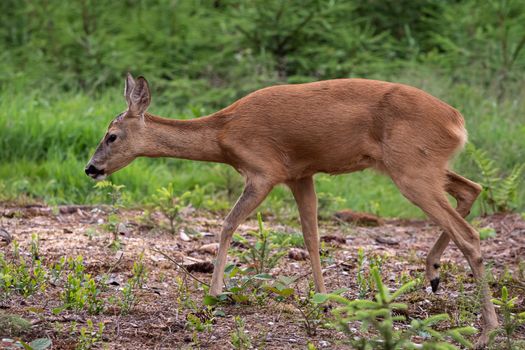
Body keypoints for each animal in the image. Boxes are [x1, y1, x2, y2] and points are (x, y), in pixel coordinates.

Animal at [85, 74, 496, 348]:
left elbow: (227, 225)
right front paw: (324, 300)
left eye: (111, 136)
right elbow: (311, 237)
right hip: (421, 167)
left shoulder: (264, 171)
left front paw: (215, 294)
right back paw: (434, 273)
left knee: (470, 232)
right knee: (471, 190)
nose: (91, 168)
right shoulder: (302, 174)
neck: (222, 135)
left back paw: (487, 327)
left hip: (411, 169)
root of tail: (456, 121)